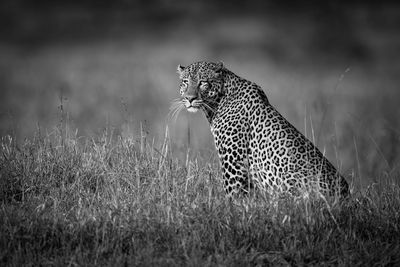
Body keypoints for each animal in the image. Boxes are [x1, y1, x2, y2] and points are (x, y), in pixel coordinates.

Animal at [173, 61, 350, 199]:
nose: (190, 98)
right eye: (185, 82)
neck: (217, 103)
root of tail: (345, 196)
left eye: (203, 82)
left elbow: (234, 197)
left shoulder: (233, 164)